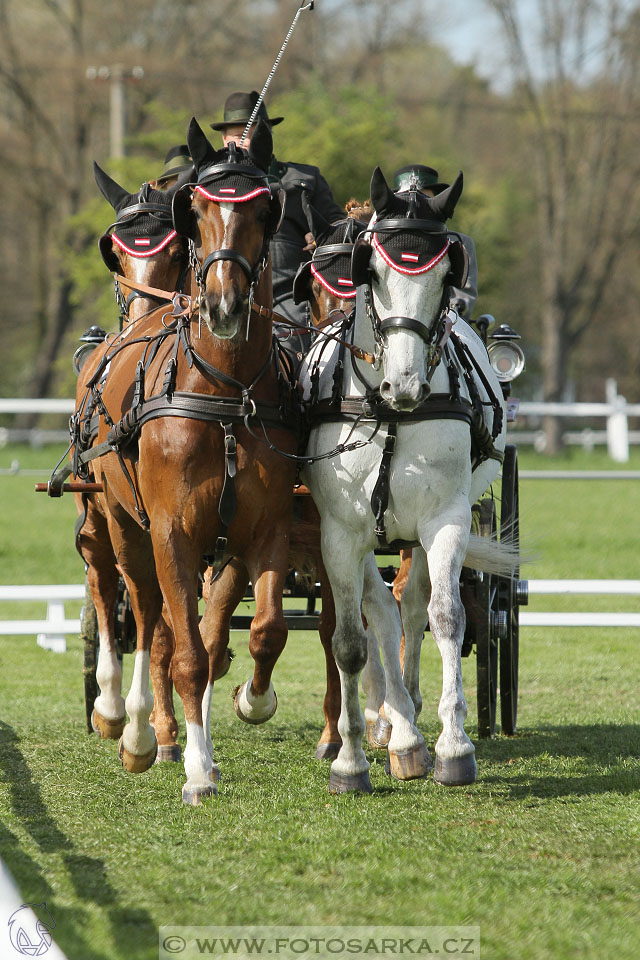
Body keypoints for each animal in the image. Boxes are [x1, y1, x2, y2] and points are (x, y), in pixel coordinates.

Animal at [87, 118, 298, 804]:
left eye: (263, 209)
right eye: (198, 212)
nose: (224, 305)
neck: (225, 395)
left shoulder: (260, 532)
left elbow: (255, 632)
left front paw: (251, 703)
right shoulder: (173, 532)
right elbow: (183, 652)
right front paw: (198, 769)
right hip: (122, 524)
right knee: (139, 612)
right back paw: (135, 728)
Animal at [298, 167, 510, 796]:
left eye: (446, 274)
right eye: (373, 271)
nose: (407, 385)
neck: (388, 412)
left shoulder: (446, 519)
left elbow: (446, 617)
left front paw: (454, 746)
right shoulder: (338, 533)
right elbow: (349, 639)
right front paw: (350, 760)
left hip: (414, 532)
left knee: (411, 608)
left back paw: (411, 719)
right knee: (381, 608)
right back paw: (395, 726)